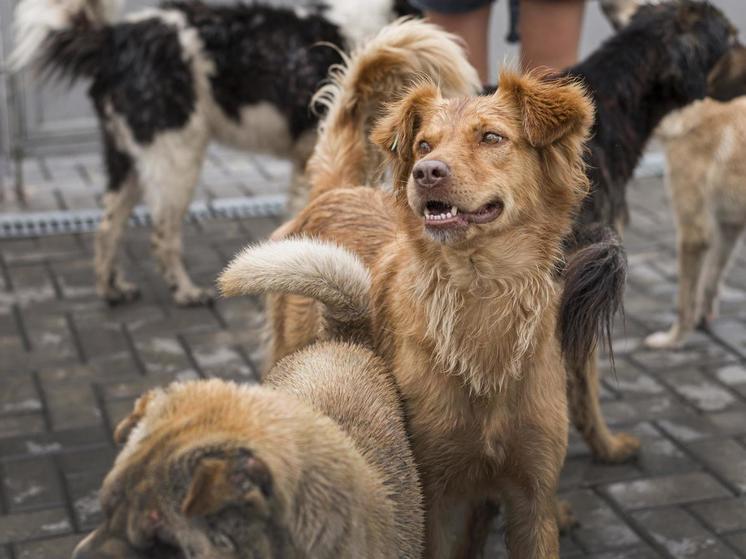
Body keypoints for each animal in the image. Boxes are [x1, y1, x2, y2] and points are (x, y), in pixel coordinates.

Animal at [10, 0, 412, 306]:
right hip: (176, 158)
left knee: (108, 226)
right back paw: (186, 292)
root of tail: (114, 40)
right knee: (162, 235)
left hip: (127, 159)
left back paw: (112, 289)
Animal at [232, 66, 592, 556]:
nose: (426, 172)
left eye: (492, 137)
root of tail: (337, 190)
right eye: (424, 145)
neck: (480, 294)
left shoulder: (532, 499)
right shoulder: (432, 497)